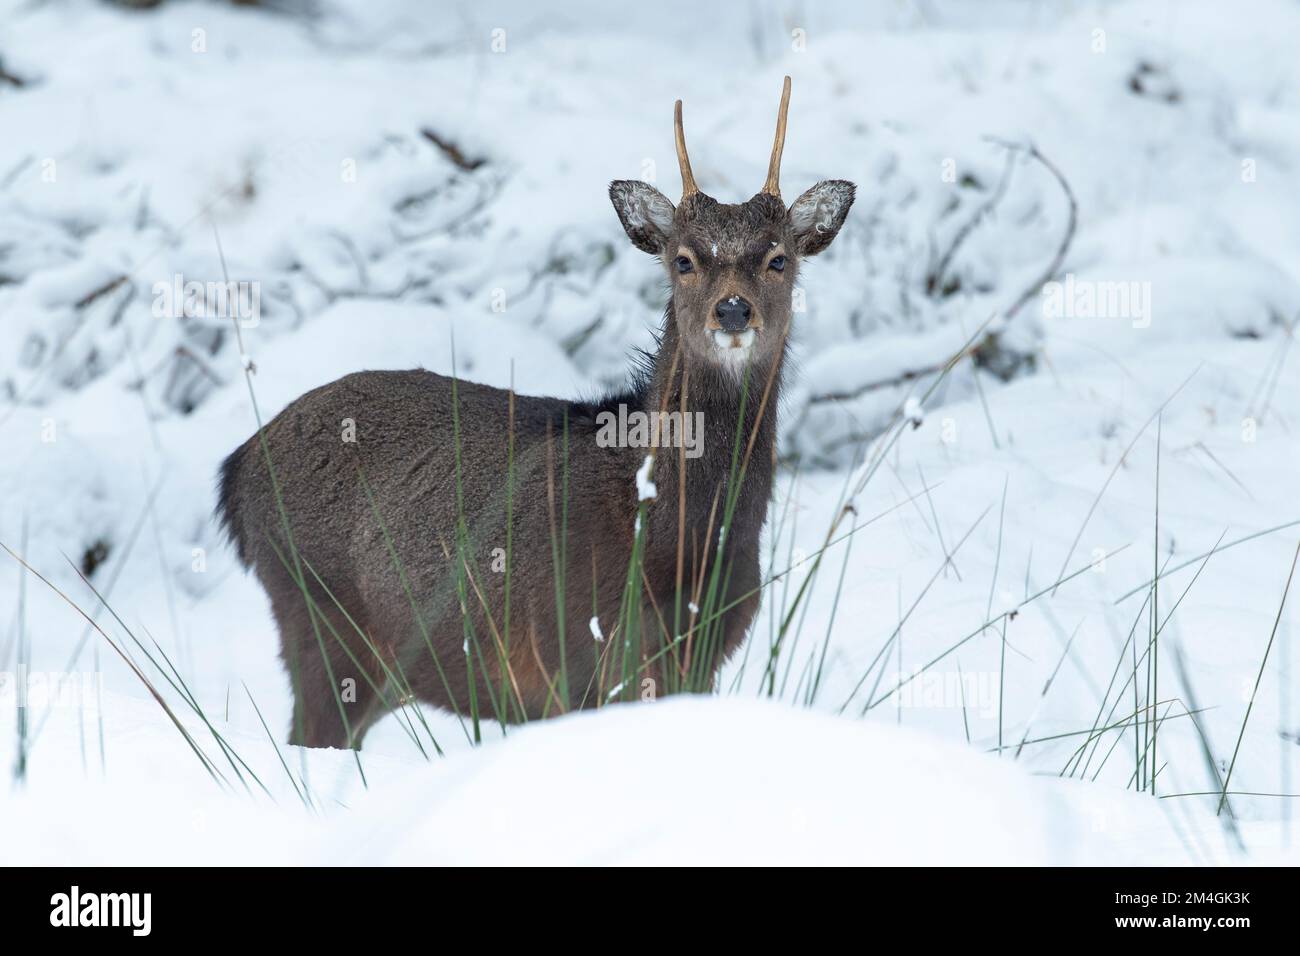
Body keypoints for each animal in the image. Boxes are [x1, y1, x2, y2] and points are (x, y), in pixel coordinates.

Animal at [216, 76, 855, 749]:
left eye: (779, 258)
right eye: (683, 259)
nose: (732, 310)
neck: (668, 542)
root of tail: (237, 468)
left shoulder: (702, 658)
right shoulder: (569, 655)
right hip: (315, 612)